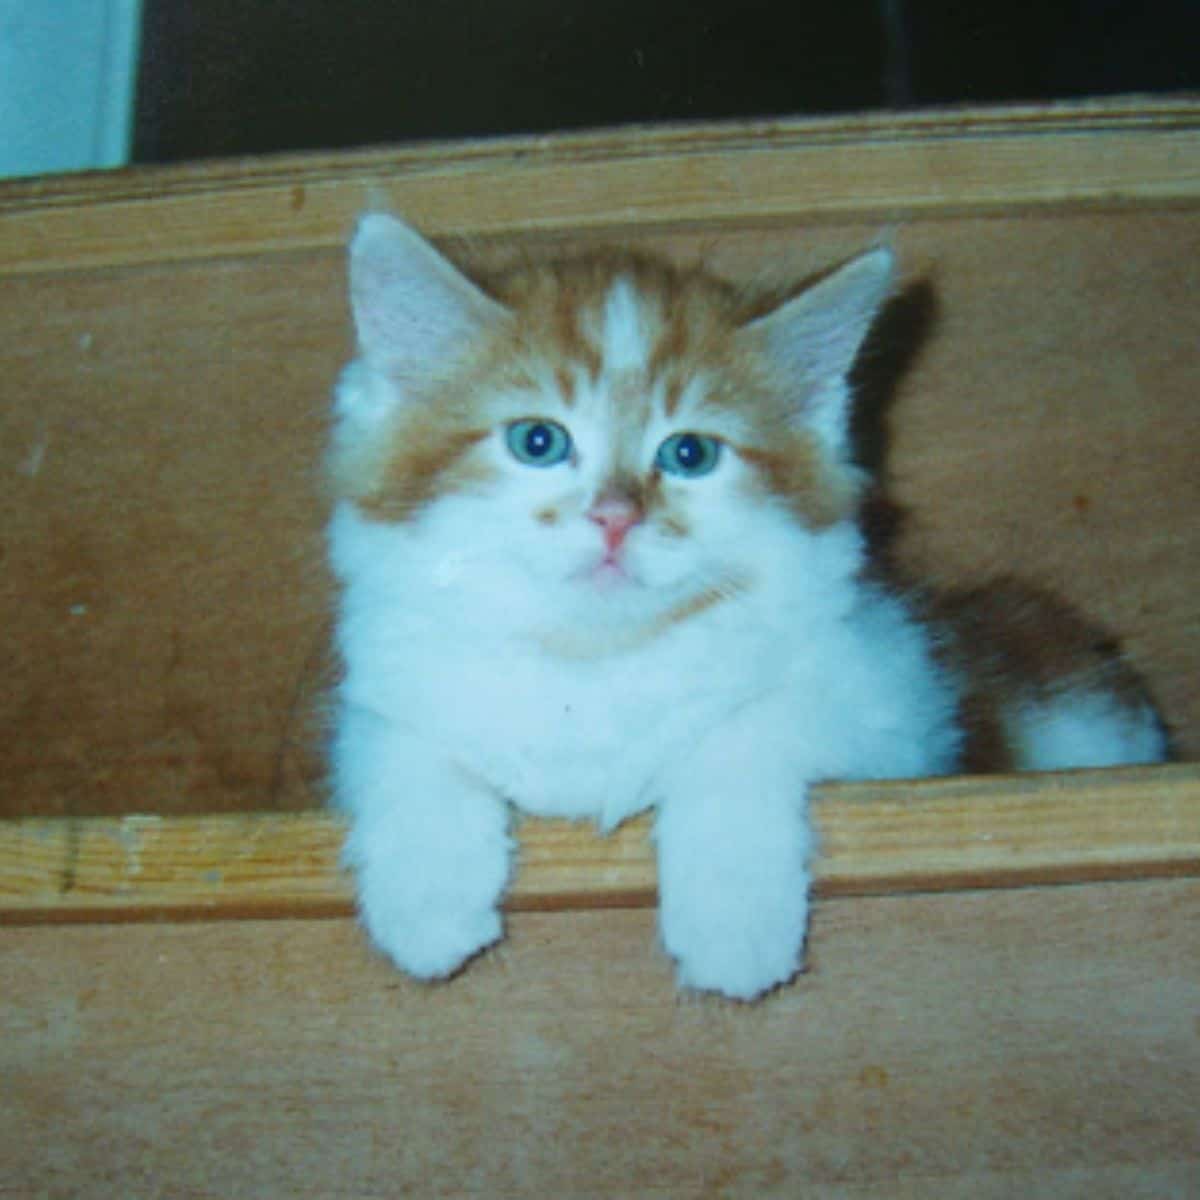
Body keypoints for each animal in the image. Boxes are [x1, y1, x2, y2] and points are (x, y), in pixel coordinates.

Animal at [324, 218, 1166, 1003]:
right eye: (538, 440)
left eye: (689, 454)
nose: (615, 517)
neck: (595, 663)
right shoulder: (388, 670)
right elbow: (400, 738)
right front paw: (427, 898)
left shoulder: (890, 700)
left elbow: (744, 729)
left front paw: (734, 923)